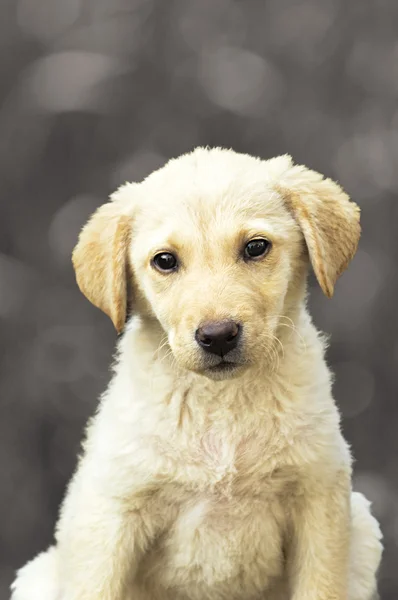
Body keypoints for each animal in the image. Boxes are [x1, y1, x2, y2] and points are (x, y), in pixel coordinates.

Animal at [11, 149, 382, 600]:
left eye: (256, 247)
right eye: (165, 261)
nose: (218, 335)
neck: (221, 402)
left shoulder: (319, 501)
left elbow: (321, 586)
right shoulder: (110, 514)